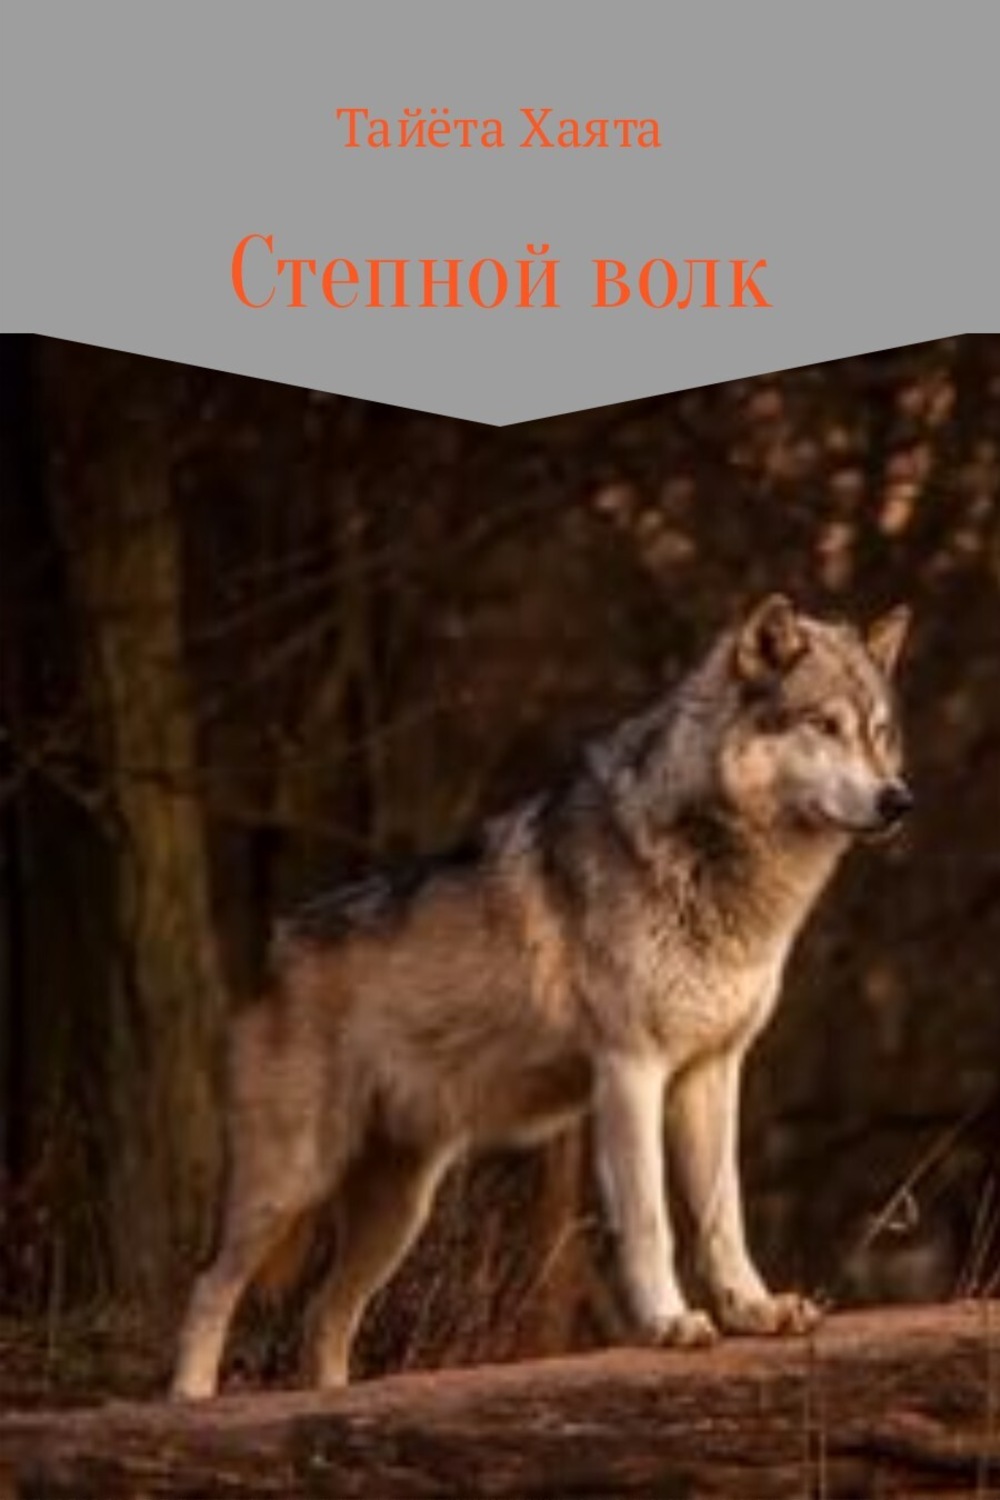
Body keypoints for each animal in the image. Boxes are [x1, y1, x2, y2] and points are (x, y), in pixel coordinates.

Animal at [171, 594, 912, 1398]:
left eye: (878, 733)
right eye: (824, 725)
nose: (898, 799)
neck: (722, 866)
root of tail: (273, 948)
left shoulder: (711, 1072)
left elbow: (724, 1215)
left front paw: (754, 1308)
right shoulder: (632, 1071)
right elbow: (651, 1219)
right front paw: (668, 1322)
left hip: (399, 1210)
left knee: (325, 1317)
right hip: (292, 1181)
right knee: (208, 1287)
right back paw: (191, 1402)